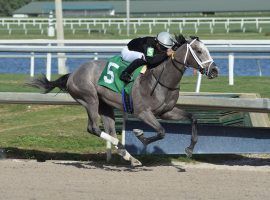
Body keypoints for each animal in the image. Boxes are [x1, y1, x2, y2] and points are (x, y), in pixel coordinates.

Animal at [28, 35, 217, 166]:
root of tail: (73, 74)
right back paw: (122, 150)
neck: (161, 79)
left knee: (110, 130)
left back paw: (129, 156)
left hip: (105, 106)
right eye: (199, 51)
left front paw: (190, 149)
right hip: (89, 99)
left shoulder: (166, 111)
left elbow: (192, 118)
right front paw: (140, 136)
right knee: (93, 128)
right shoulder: (143, 112)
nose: (214, 71)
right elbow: (161, 131)